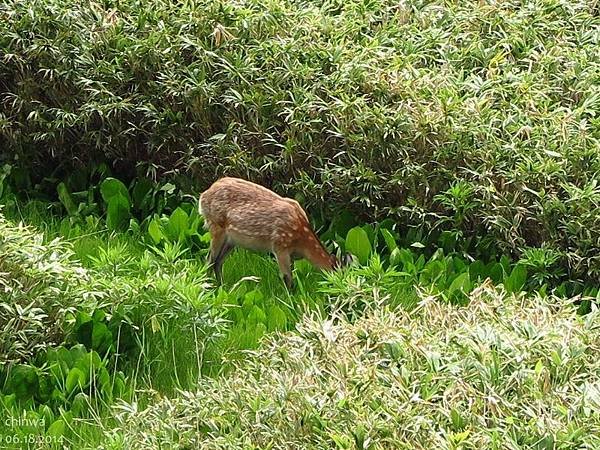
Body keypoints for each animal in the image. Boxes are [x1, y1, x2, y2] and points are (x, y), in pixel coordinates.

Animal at [198, 177, 344, 288]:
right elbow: (287, 279)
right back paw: (209, 288)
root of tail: (203, 196)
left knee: (218, 262)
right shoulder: (280, 246)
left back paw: (221, 287)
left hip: (231, 240)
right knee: (210, 260)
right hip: (216, 226)